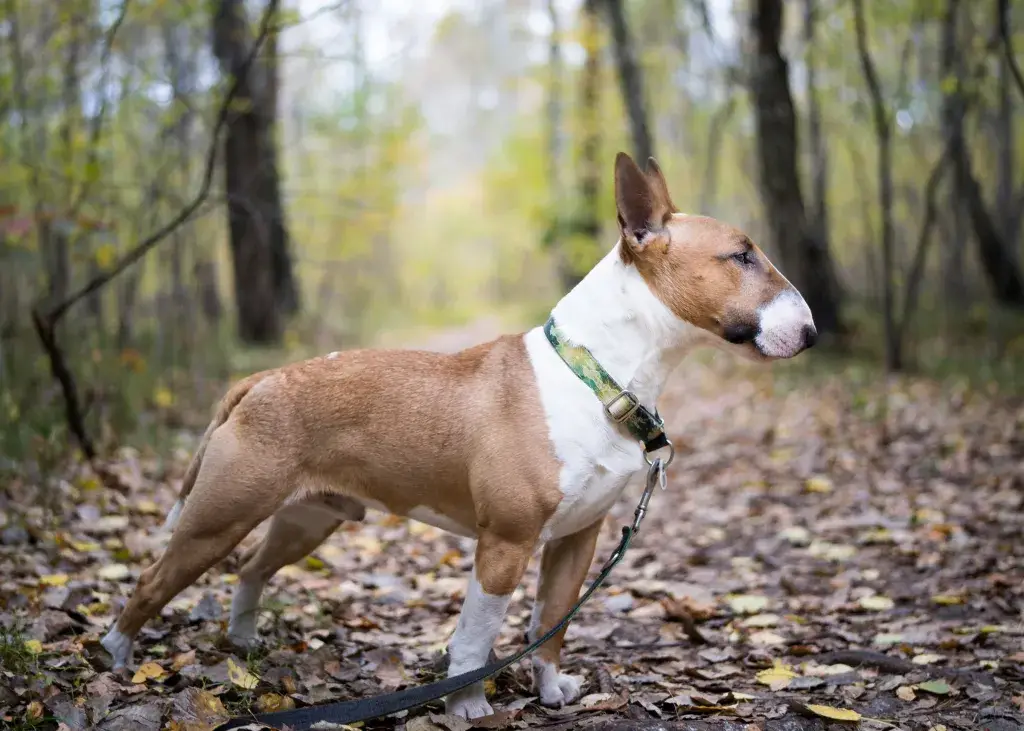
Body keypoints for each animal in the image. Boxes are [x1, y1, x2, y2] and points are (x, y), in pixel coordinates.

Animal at [103, 153, 815, 716]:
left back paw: (244, 641)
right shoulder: (504, 543)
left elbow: (551, 623)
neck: (596, 375)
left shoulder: (577, 540)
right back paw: (114, 657)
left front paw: (551, 692)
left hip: (308, 518)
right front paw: (468, 706)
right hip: (219, 516)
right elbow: (476, 637)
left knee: (252, 567)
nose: (811, 333)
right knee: (153, 581)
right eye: (741, 256)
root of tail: (260, 378)